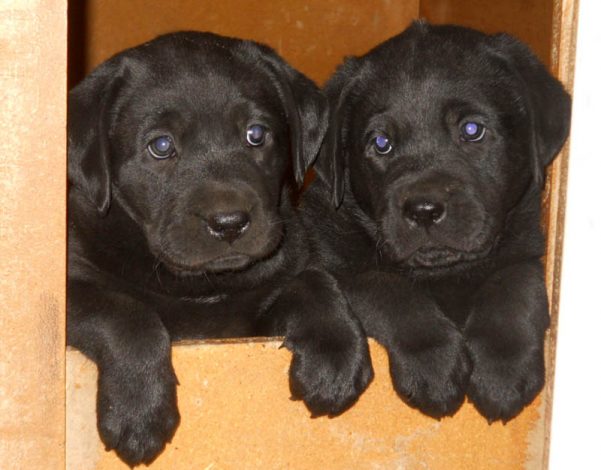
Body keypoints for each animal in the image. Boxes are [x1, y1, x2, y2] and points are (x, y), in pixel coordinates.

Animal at [68, 33, 372, 466]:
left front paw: (334, 353)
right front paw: (138, 411)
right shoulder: (71, 282)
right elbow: (124, 313)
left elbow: (311, 279)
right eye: (161, 145)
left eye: (256, 134)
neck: (203, 287)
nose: (229, 222)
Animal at [308, 22, 568, 422]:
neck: (444, 275)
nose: (424, 210)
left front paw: (503, 371)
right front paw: (435, 367)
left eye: (472, 130)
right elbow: (388, 288)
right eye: (380, 142)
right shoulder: (338, 260)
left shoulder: (525, 247)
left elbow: (515, 287)